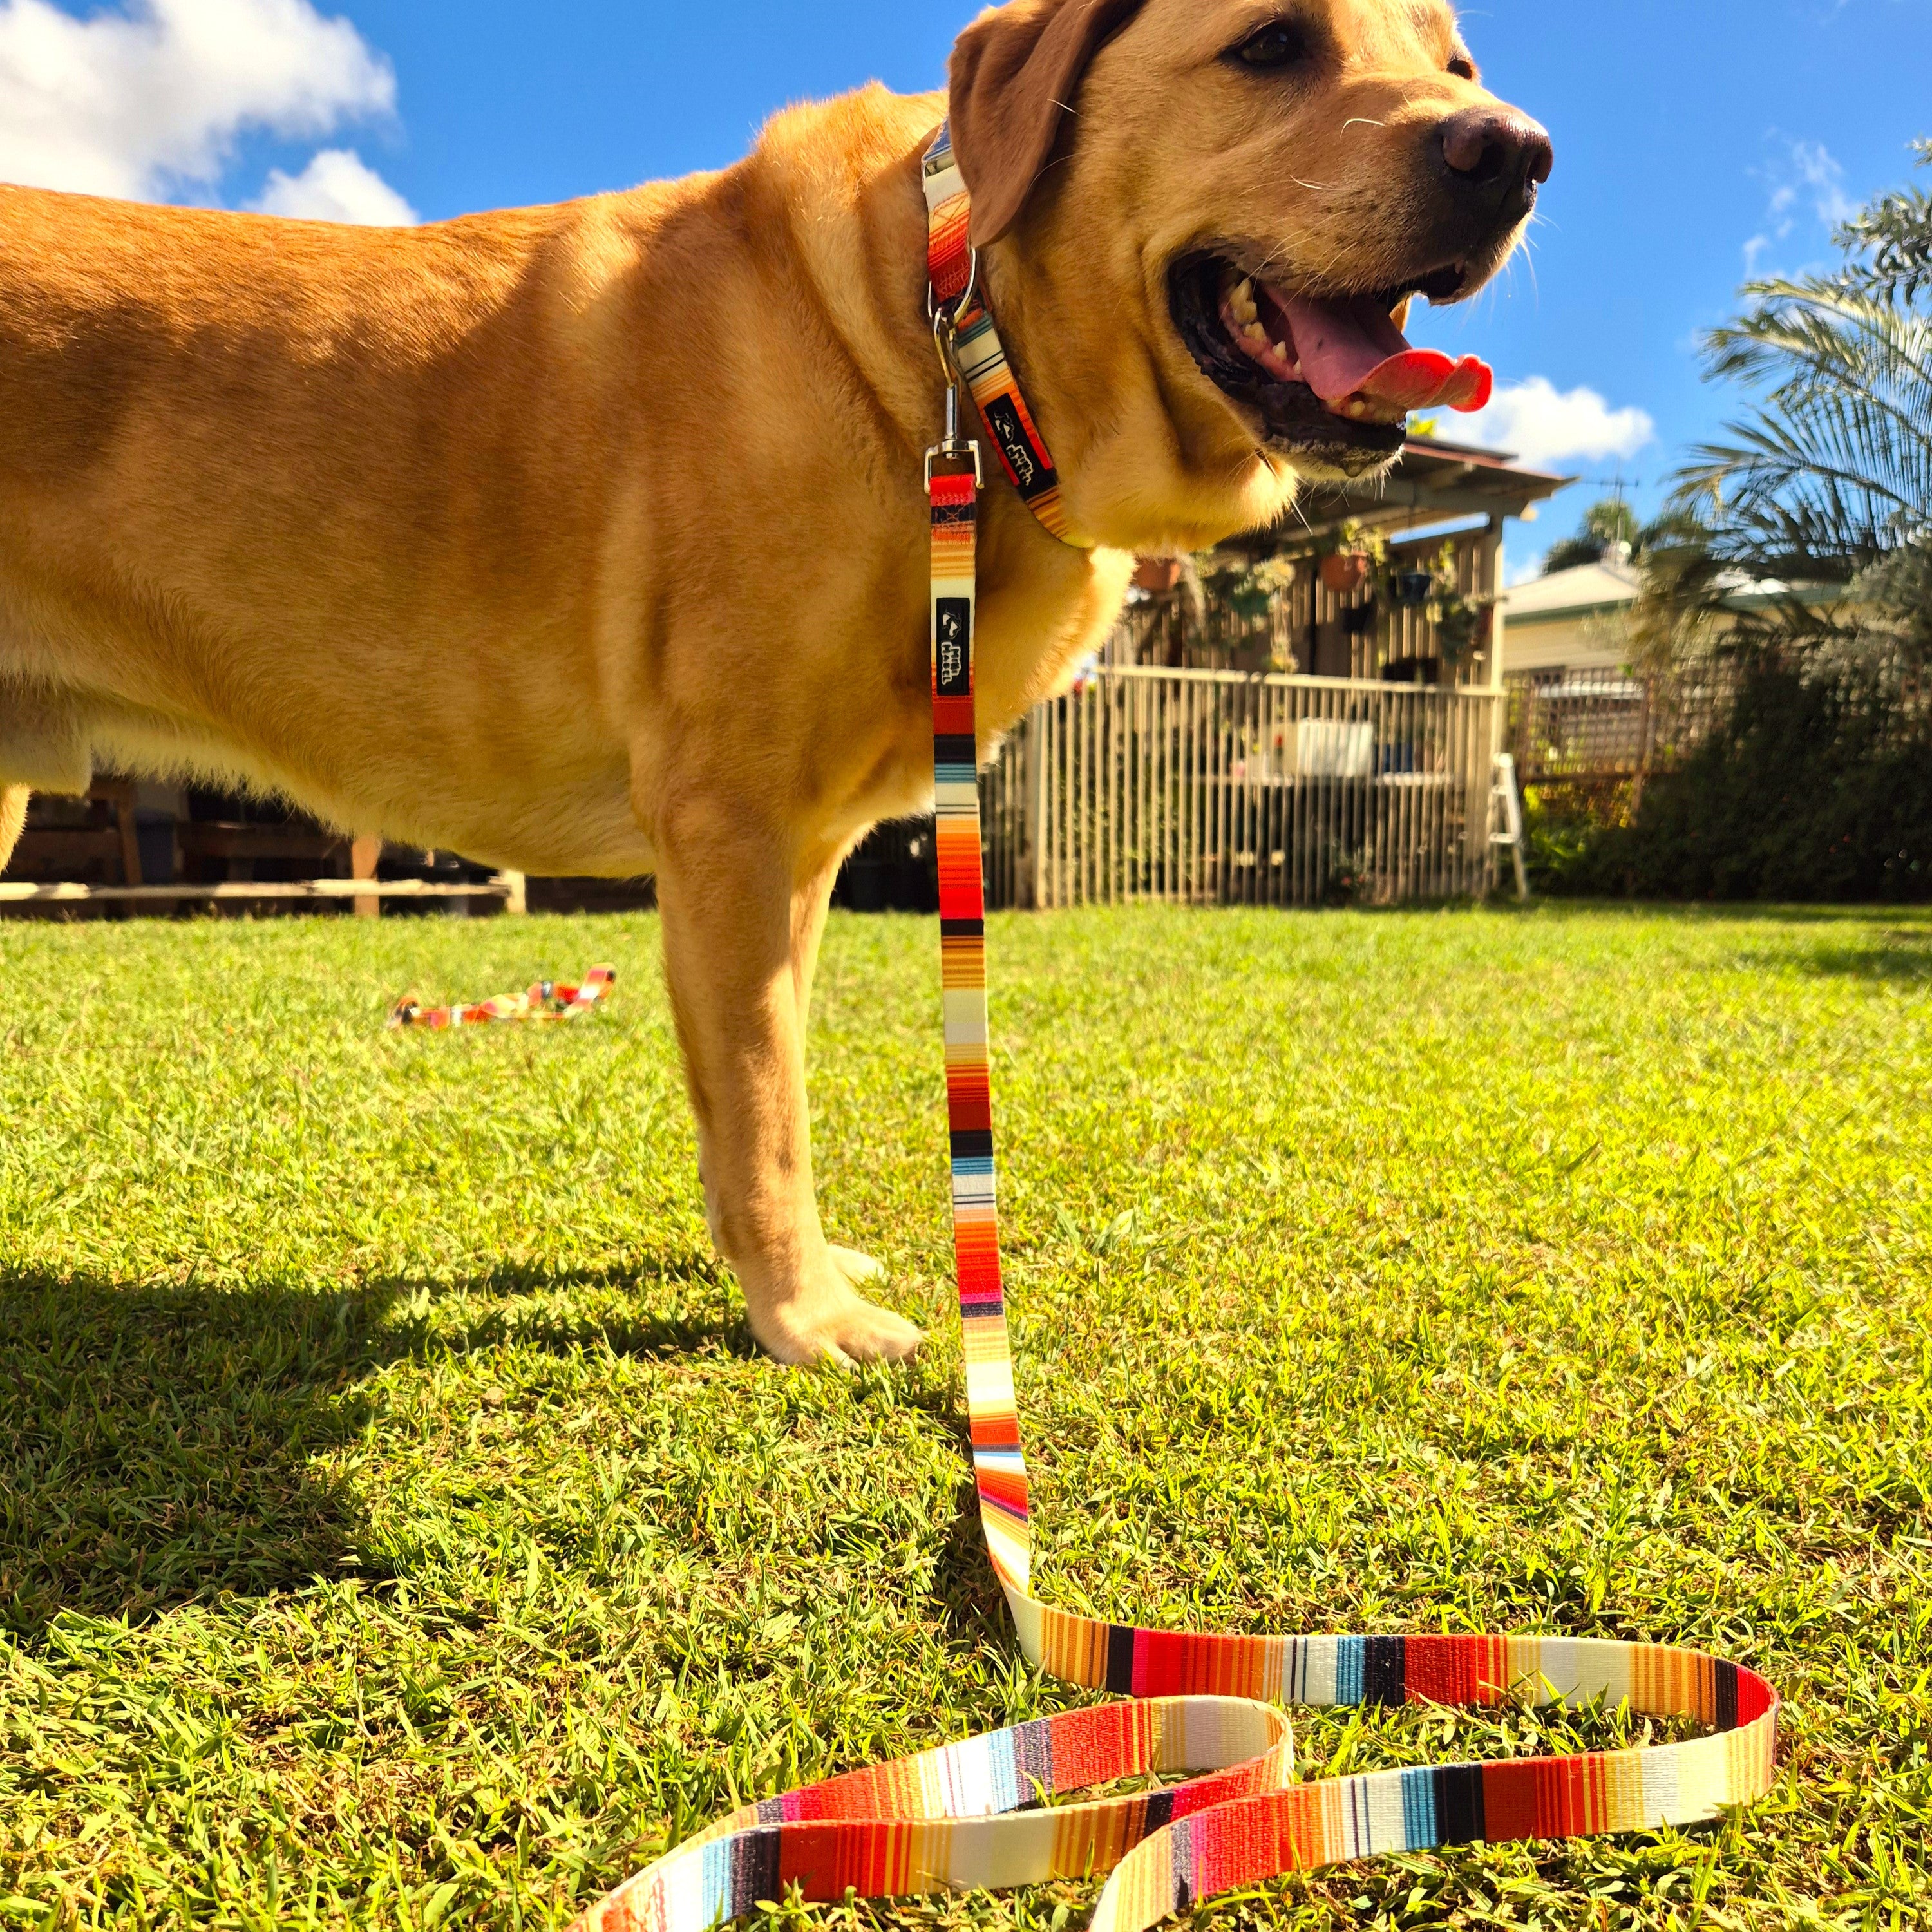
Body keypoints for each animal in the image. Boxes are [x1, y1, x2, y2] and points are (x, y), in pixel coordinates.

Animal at [0, 0, 1546, 1360]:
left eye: (1458, 61)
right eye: (1271, 41)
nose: (1516, 152)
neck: (940, 332)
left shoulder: (795, 862)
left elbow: (760, 1094)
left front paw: (783, 1270)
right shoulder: (729, 832)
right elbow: (765, 1106)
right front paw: (807, 1318)